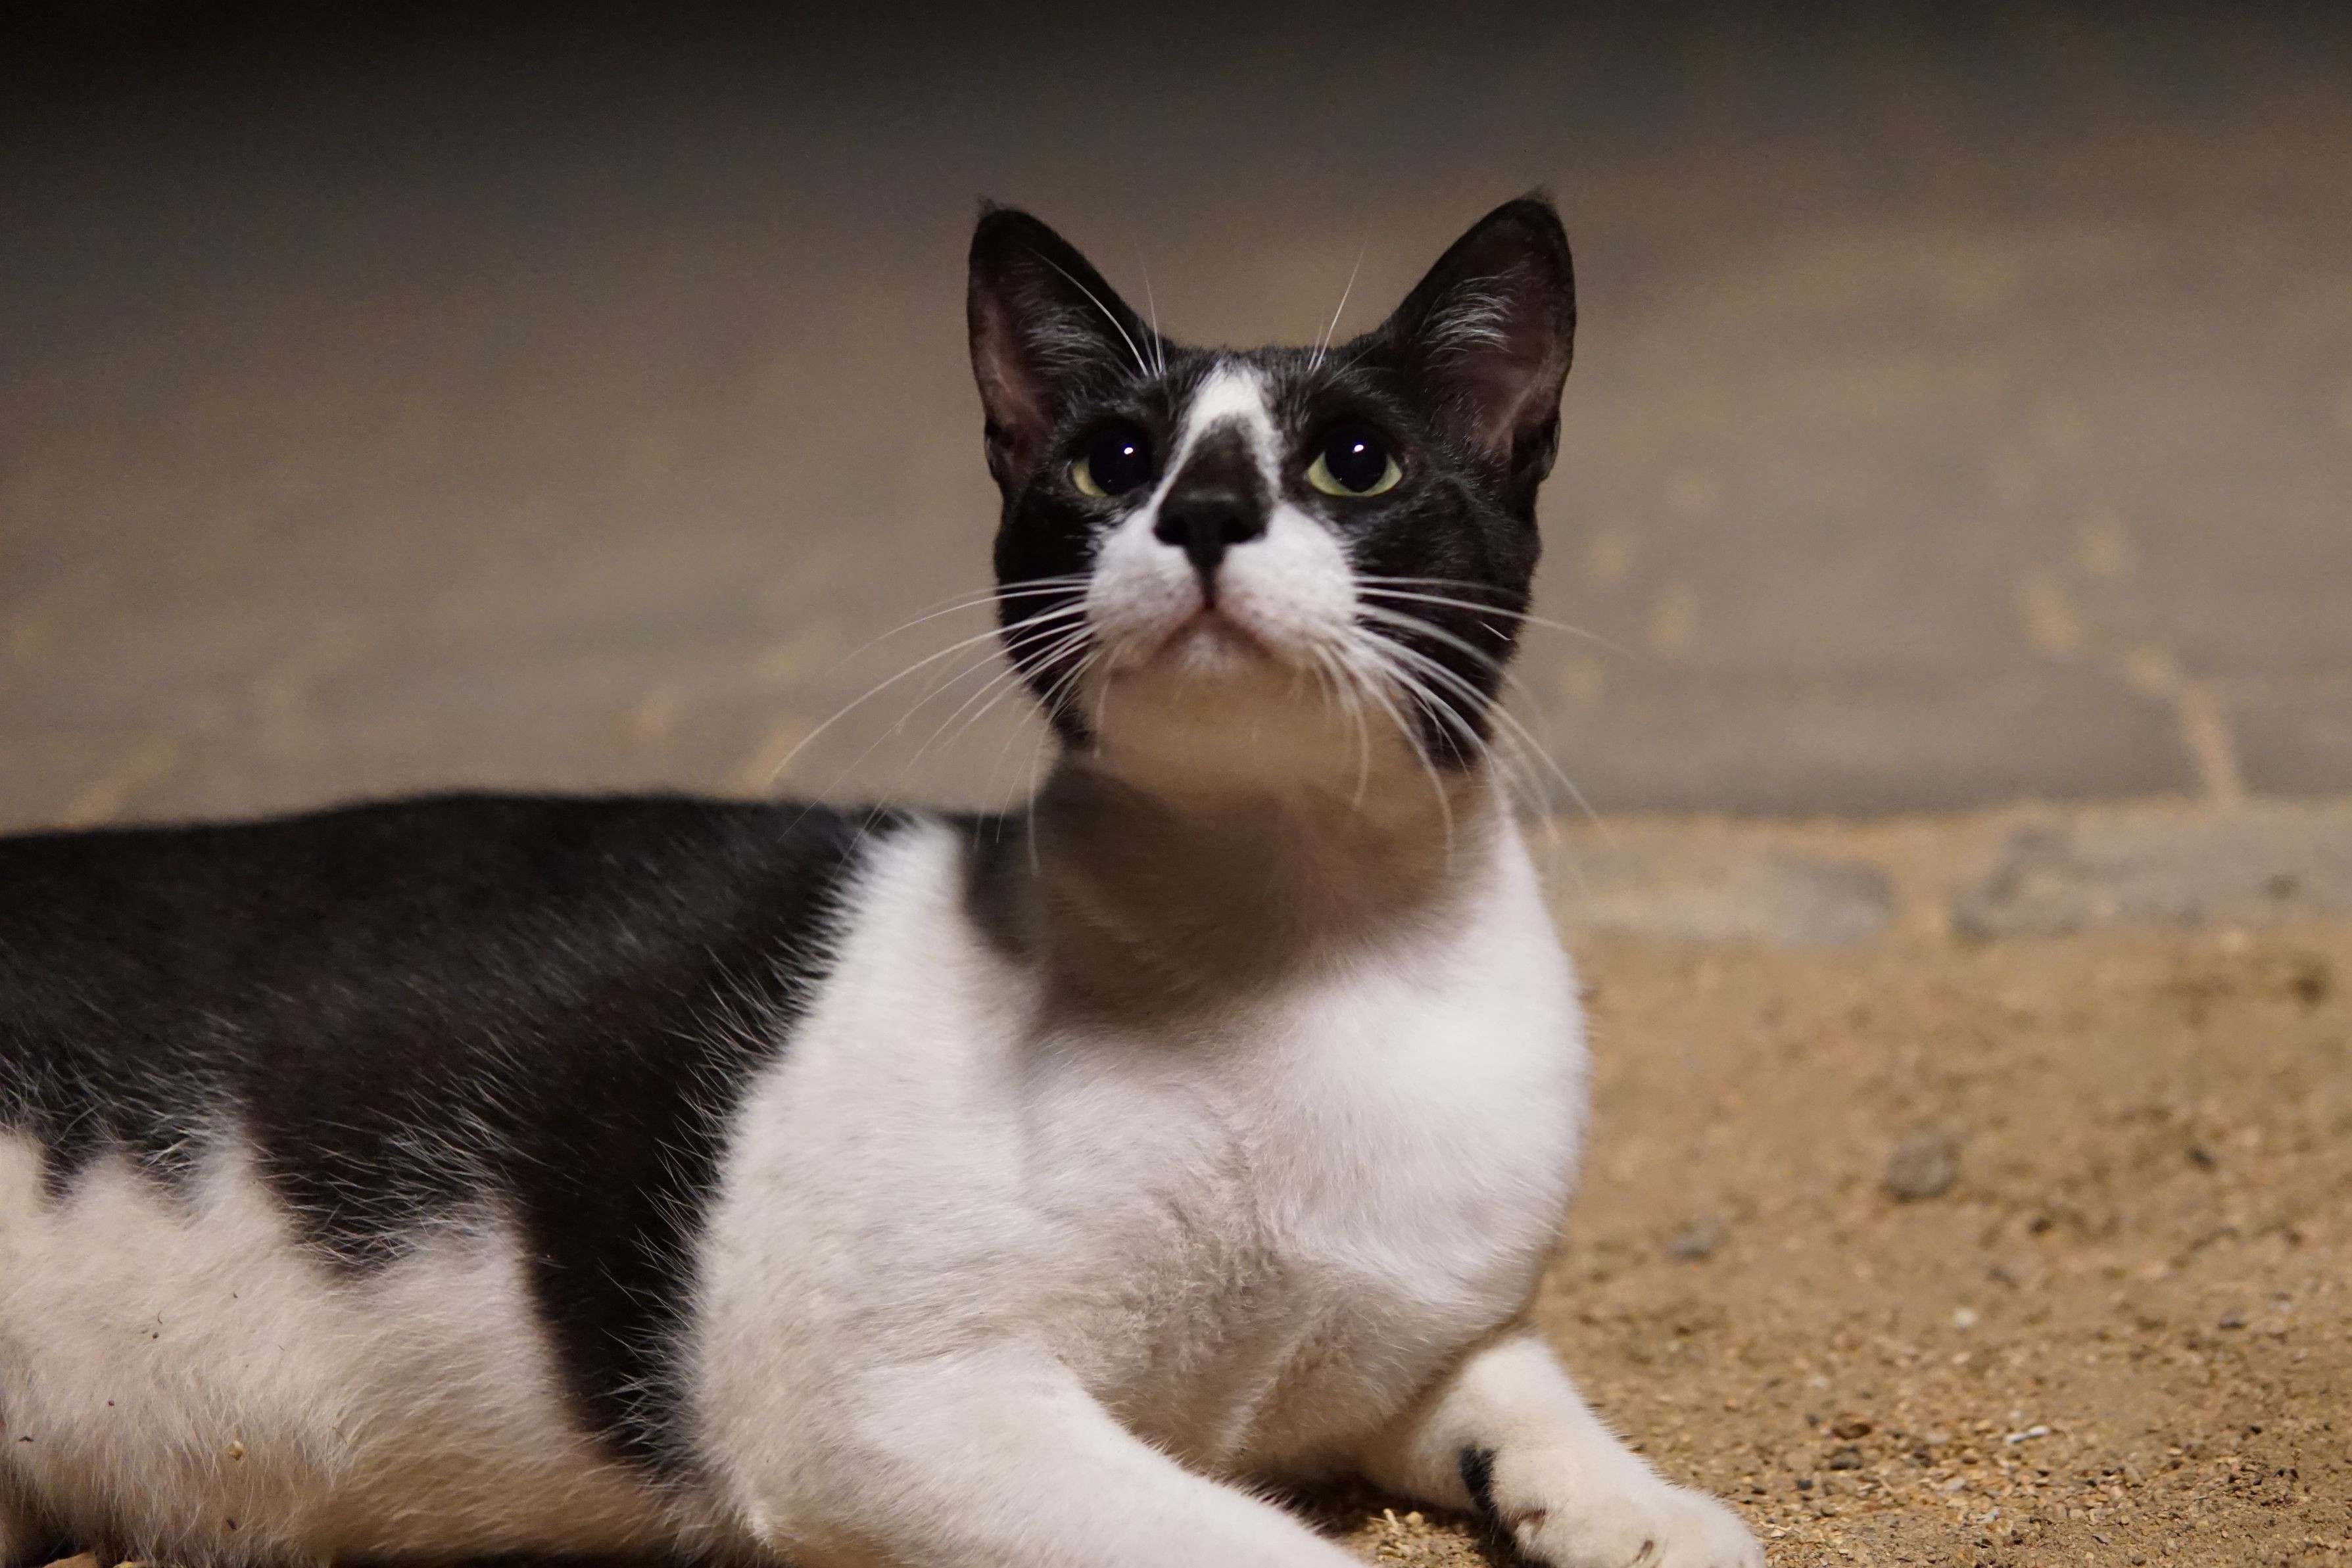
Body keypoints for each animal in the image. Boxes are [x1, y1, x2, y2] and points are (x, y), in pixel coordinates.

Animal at [0, 196, 1763, 1568]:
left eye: (1353, 462)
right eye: (1113, 461)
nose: (1201, 510)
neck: (1300, 948)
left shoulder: (1413, 1347)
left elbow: (1520, 1383)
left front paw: (1645, 1504)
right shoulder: (900, 1409)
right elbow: (1263, 1542)